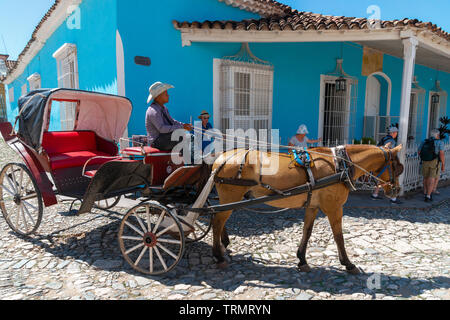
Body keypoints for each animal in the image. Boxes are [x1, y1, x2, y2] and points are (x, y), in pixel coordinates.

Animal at [211, 144, 404, 274]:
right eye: (398, 168)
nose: (396, 190)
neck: (340, 165)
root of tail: (221, 158)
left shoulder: (312, 206)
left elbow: (307, 231)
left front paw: (302, 260)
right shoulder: (334, 208)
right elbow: (339, 237)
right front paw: (348, 264)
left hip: (231, 199)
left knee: (219, 218)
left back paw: (223, 246)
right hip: (231, 197)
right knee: (217, 221)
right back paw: (219, 255)